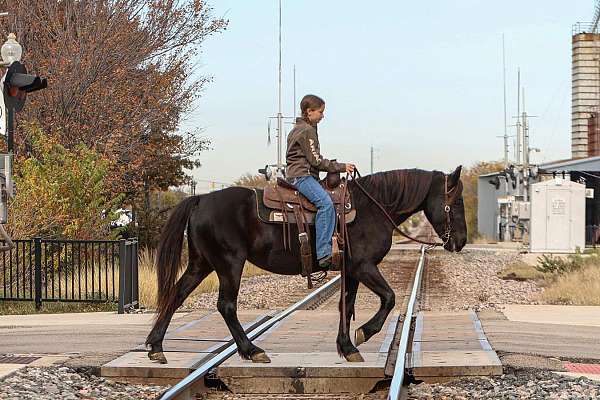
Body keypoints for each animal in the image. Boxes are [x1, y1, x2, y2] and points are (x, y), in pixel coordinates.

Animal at [145, 166, 468, 362]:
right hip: (229, 264)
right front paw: (363, 333)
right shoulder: (364, 266)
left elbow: (346, 306)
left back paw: (156, 347)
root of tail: (201, 199)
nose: (461, 241)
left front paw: (347, 347)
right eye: (457, 202)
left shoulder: (351, 271)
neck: (374, 208)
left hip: (201, 264)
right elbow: (388, 298)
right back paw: (252, 350)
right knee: (226, 306)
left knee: (176, 295)